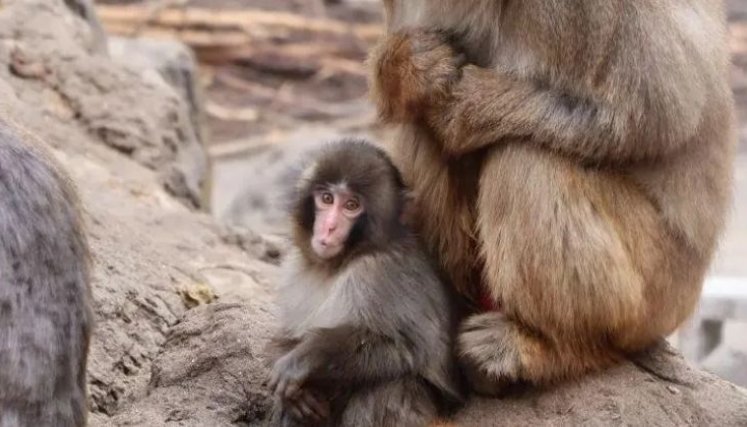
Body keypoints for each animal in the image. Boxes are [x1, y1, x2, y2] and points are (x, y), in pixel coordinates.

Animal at [267, 139, 462, 426]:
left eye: (351, 205)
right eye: (327, 199)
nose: (328, 228)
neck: (339, 264)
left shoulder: (378, 273)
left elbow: (406, 346)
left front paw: (305, 359)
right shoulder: (295, 269)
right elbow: (285, 337)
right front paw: (298, 395)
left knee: (388, 386)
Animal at [368, 0, 736, 393]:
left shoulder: (587, 11)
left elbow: (652, 117)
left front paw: (468, 110)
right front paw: (412, 67)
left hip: (659, 287)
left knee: (525, 154)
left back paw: (553, 347)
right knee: (421, 126)